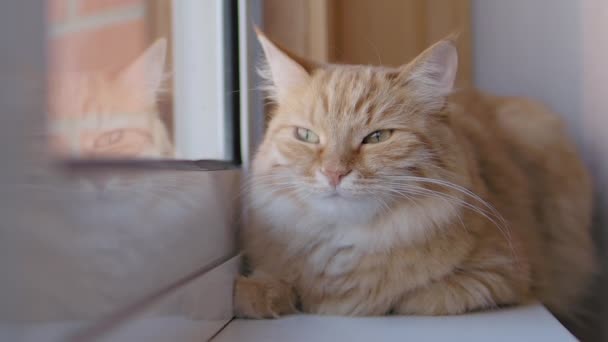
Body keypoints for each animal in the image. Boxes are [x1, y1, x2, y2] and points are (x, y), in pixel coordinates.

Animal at [235, 30, 596, 320]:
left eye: (377, 137)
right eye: (306, 136)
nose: (333, 173)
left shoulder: (500, 273)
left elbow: (407, 298)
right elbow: (266, 283)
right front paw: (259, 293)